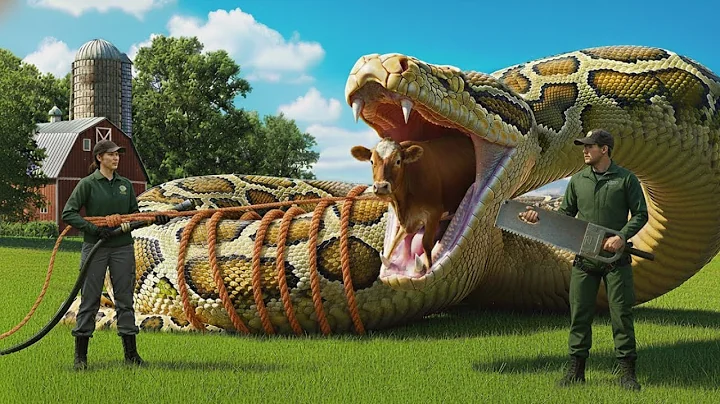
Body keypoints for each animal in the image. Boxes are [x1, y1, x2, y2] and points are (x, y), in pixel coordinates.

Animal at [350, 133, 476, 271]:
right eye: (372, 161)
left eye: (398, 161)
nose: (381, 186)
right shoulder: (408, 220)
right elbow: (395, 241)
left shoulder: (434, 212)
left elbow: (426, 243)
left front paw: (428, 268)